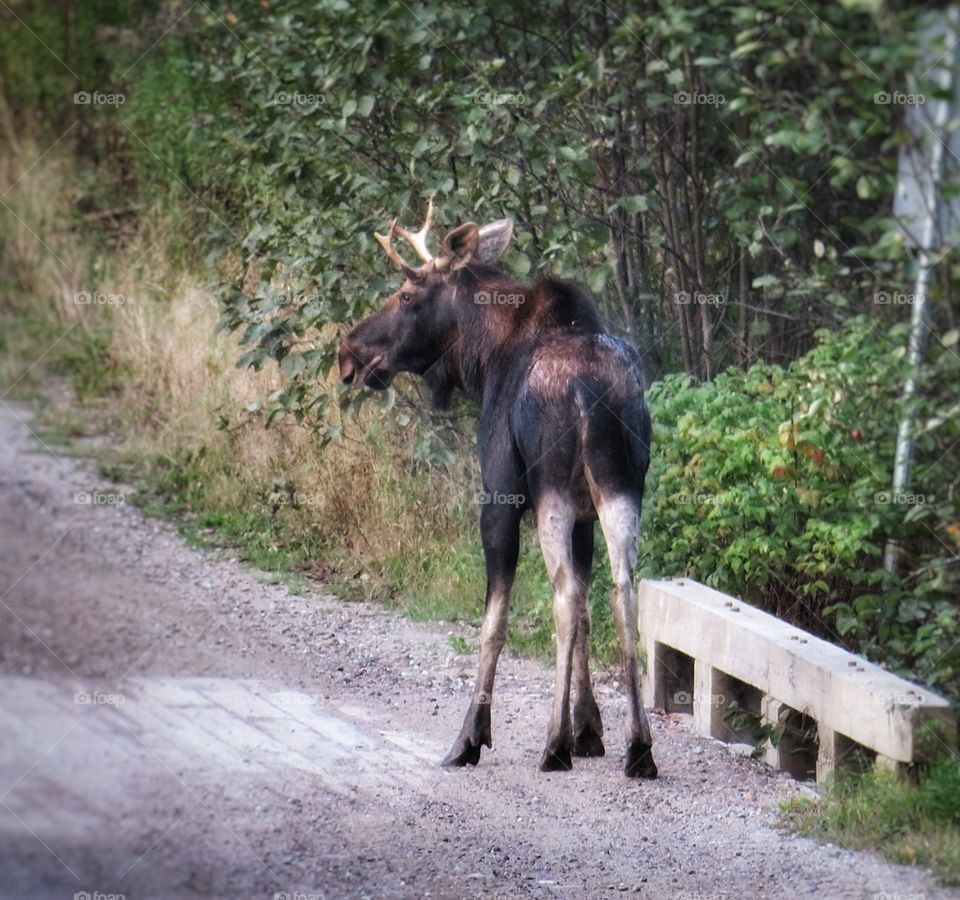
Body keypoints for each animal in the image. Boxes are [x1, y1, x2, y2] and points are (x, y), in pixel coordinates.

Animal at [338, 200, 660, 776]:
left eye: (407, 295)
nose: (348, 354)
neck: (482, 360)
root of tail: (591, 393)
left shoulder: (501, 495)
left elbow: (494, 620)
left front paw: (472, 736)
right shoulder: (585, 513)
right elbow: (588, 612)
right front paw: (589, 729)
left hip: (552, 491)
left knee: (564, 594)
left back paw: (553, 746)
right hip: (621, 488)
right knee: (621, 589)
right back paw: (639, 747)